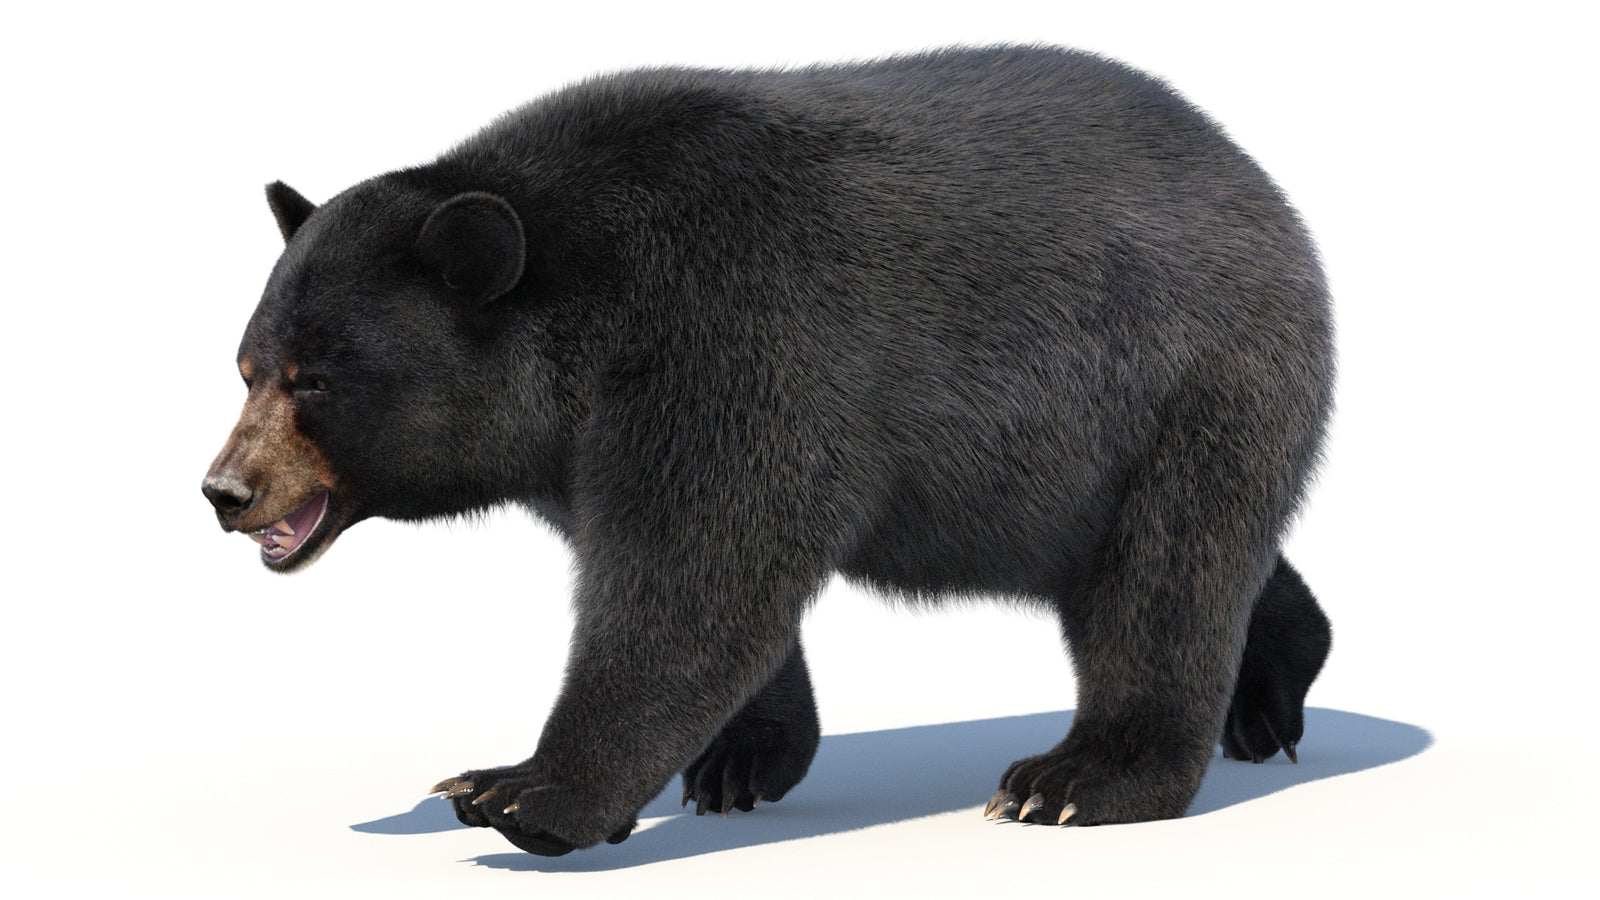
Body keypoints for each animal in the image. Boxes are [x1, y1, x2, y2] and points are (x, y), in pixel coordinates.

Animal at [202, 45, 1334, 857]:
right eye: (247, 366)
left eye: (315, 380)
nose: (224, 490)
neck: (583, 316)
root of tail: (1258, 182)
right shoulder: (583, 444)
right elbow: (709, 583)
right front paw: (740, 762)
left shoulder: (735, 338)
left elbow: (695, 575)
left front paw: (519, 789)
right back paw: (1270, 692)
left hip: (1186, 382)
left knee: (1166, 573)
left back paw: (1078, 779)